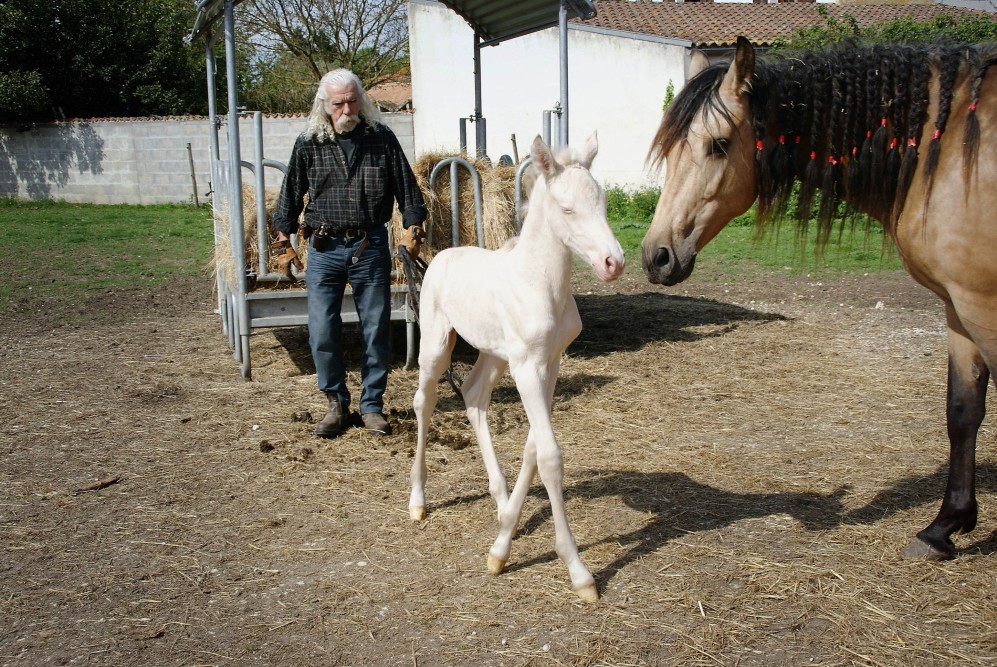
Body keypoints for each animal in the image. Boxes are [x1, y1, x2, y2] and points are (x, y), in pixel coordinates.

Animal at [404, 133, 624, 604]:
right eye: (567, 209)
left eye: (602, 203)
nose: (613, 263)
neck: (540, 284)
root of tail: (439, 256)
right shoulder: (527, 366)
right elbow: (551, 456)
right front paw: (578, 571)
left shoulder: (549, 363)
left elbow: (533, 448)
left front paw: (503, 542)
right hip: (437, 344)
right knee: (424, 402)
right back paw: (417, 500)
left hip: (494, 354)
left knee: (473, 396)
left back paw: (501, 500)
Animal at [640, 35, 996, 560]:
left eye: (719, 144)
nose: (656, 256)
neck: (947, 153)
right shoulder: (957, 307)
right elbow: (963, 411)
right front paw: (943, 527)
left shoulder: (981, 306)